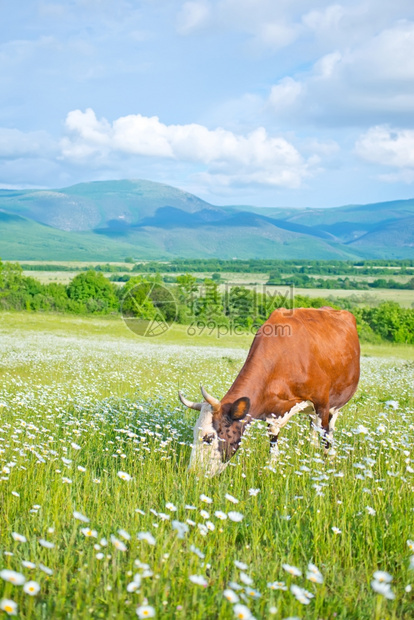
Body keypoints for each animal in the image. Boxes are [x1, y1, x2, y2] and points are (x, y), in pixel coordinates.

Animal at [180, 308, 360, 478]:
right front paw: (271, 468)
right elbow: (273, 442)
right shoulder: (273, 411)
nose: (192, 473)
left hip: (335, 405)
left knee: (329, 429)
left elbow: (325, 437)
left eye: (209, 438)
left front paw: (326, 466)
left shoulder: (321, 403)